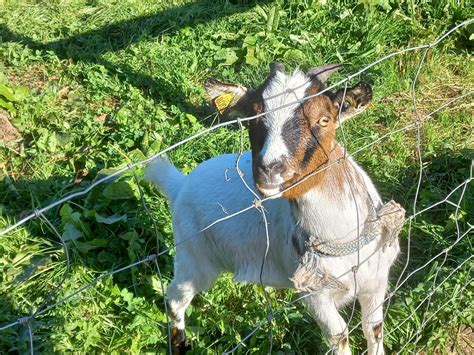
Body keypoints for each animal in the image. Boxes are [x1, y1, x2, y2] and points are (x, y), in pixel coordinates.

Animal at [144, 62, 404, 354]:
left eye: (324, 119)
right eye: (251, 117)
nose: (269, 169)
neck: (343, 239)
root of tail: (179, 183)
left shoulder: (376, 281)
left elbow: (374, 330)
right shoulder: (315, 296)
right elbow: (340, 337)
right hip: (193, 256)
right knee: (175, 298)